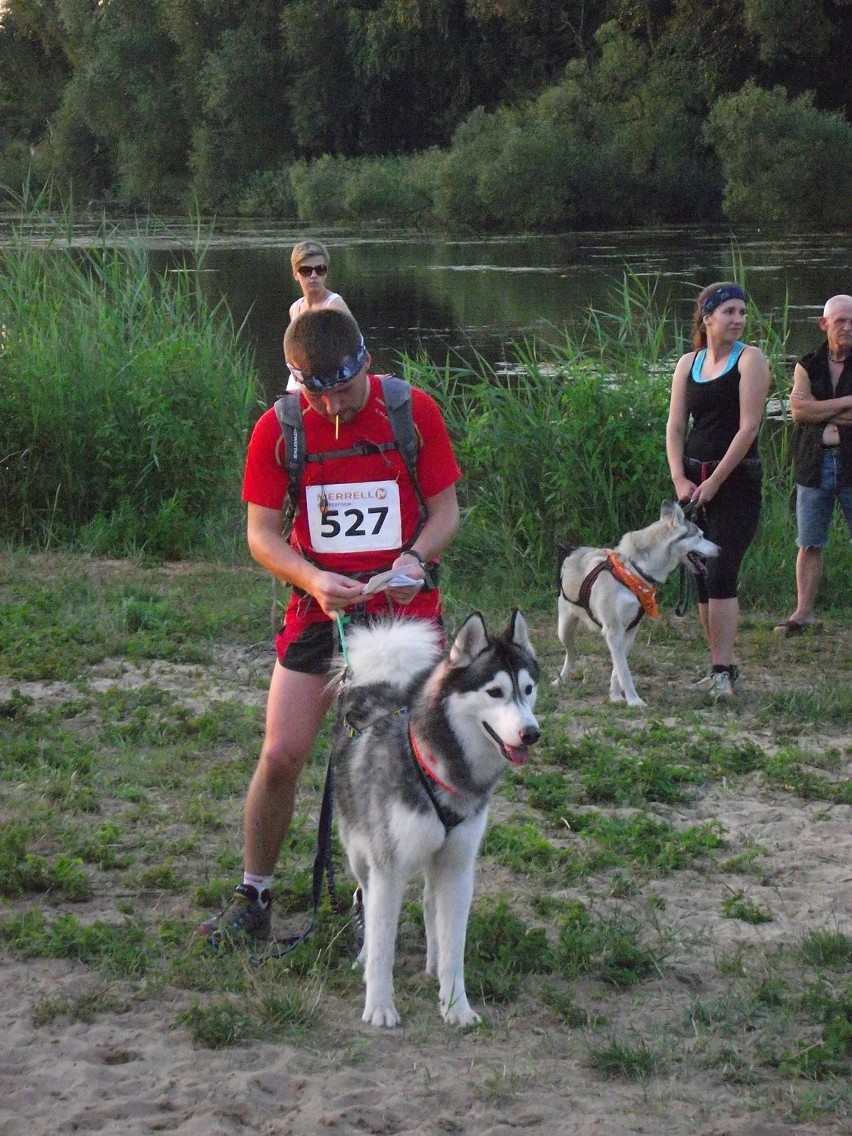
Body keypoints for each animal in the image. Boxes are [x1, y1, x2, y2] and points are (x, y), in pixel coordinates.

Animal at [333, 613, 540, 1031]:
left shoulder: (458, 867)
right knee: (366, 896)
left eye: (528, 689)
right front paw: (380, 1006)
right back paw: (363, 957)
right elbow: (383, 945)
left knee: (430, 899)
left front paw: (456, 1005)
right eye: (495, 691)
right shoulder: (388, 868)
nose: (531, 733)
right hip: (361, 856)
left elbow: (455, 950)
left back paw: (431, 961)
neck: (441, 769)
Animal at [554, 502, 722, 704]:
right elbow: (624, 671)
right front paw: (634, 701)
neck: (634, 570)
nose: (721, 549)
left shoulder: (630, 631)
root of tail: (575, 551)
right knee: (571, 653)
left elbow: (618, 669)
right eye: (700, 536)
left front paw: (616, 696)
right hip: (564, 628)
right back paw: (560, 681)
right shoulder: (613, 631)